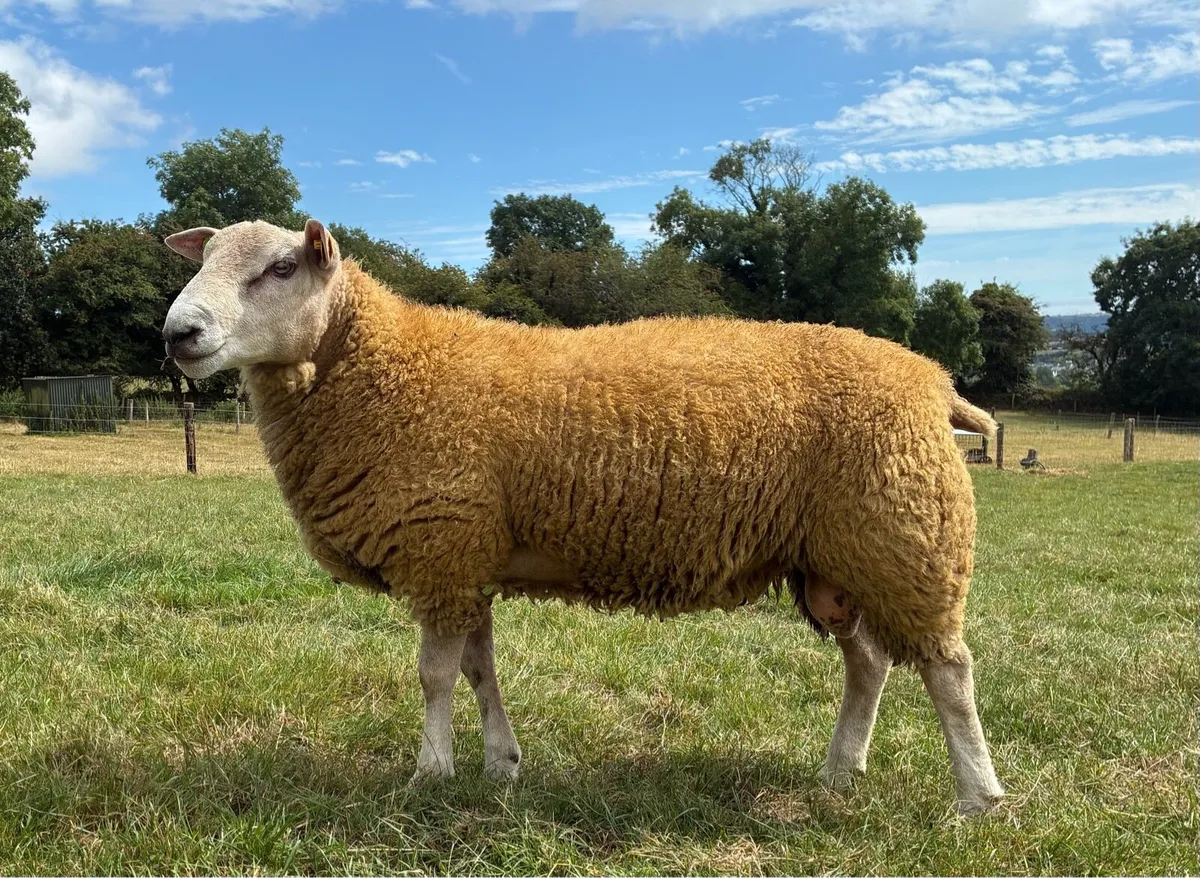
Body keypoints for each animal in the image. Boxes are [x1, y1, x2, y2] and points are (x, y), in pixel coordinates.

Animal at [161, 218, 1006, 816]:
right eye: (203, 262)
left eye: (281, 268)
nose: (178, 334)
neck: (381, 369)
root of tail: (933, 381)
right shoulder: (470, 558)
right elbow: (479, 669)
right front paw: (500, 766)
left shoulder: (441, 550)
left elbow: (434, 675)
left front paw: (429, 773)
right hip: (838, 557)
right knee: (870, 662)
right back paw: (840, 771)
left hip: (906, 537)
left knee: (948, 671)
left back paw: (978, 796)